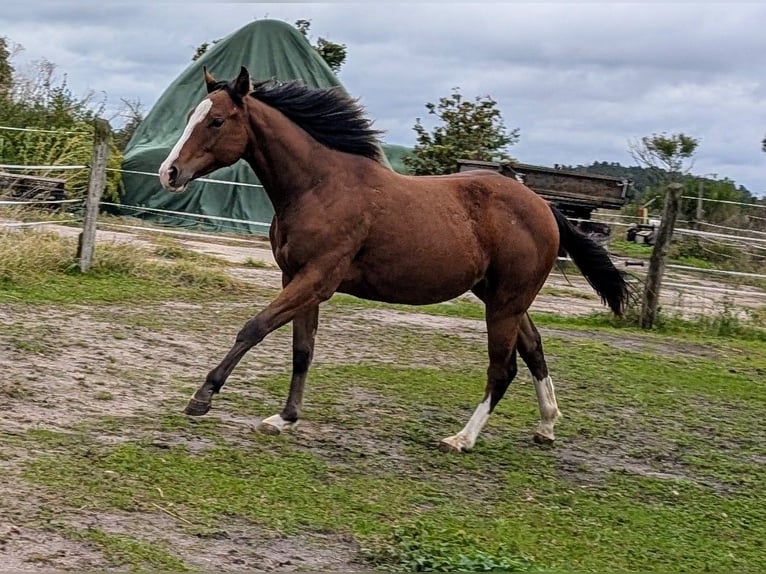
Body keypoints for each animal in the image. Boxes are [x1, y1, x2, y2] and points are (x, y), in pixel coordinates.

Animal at [158, 67, 632, 454]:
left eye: (217, 121)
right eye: (190, 116)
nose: (169, 173)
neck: (319, 187)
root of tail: (544, 206)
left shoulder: (317, 279)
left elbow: (254, 327)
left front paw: (202, 398)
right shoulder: (295, 279)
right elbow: (302, 350)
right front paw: (284, 418)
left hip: (505, 302)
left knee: (503, 367)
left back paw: (462, 439)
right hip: (501, 297)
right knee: (533, 349)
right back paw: (546, 426)